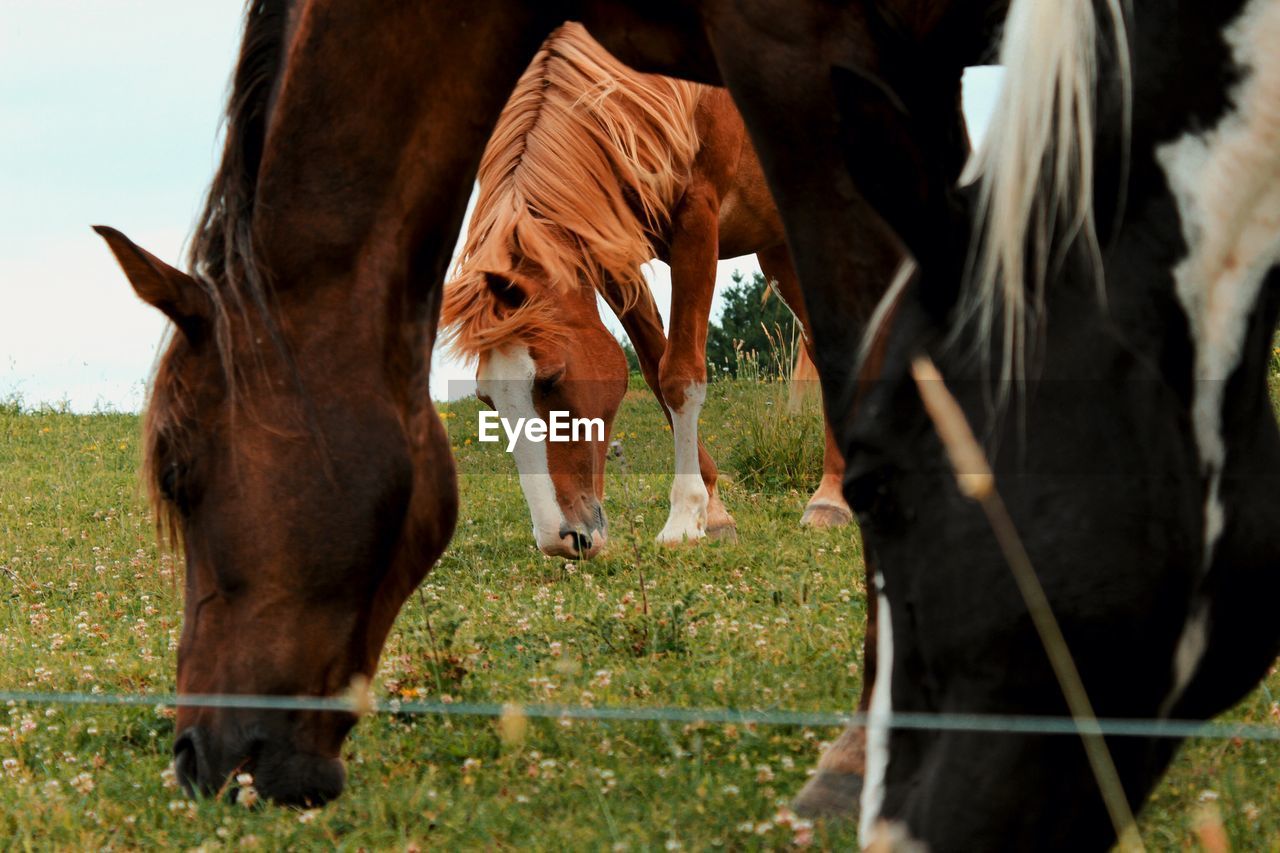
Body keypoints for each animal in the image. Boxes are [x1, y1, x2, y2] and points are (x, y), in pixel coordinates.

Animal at [440, 23, 849, 558]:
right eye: (487, 399)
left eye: (550, 379)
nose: (561, 540)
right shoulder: (612, 250)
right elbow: (655, 372)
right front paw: (715, 514)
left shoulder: (696, 221)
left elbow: (680, 375)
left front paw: (682, 518)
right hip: (778, 248)